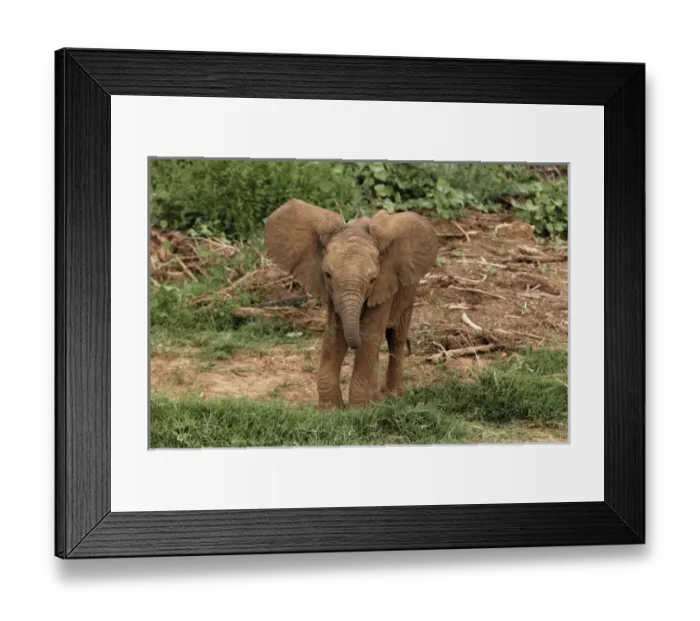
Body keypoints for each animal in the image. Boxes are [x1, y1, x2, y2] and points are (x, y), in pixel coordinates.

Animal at [264, 199, 439, 410]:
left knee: (395, 337)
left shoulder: (384, 286)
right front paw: (331, 410)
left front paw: (358, 411)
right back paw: (377, 400)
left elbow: (369, 335)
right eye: (327, 275)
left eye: (372, 280)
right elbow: (335, 336)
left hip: (408, 290)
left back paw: (394, 397)